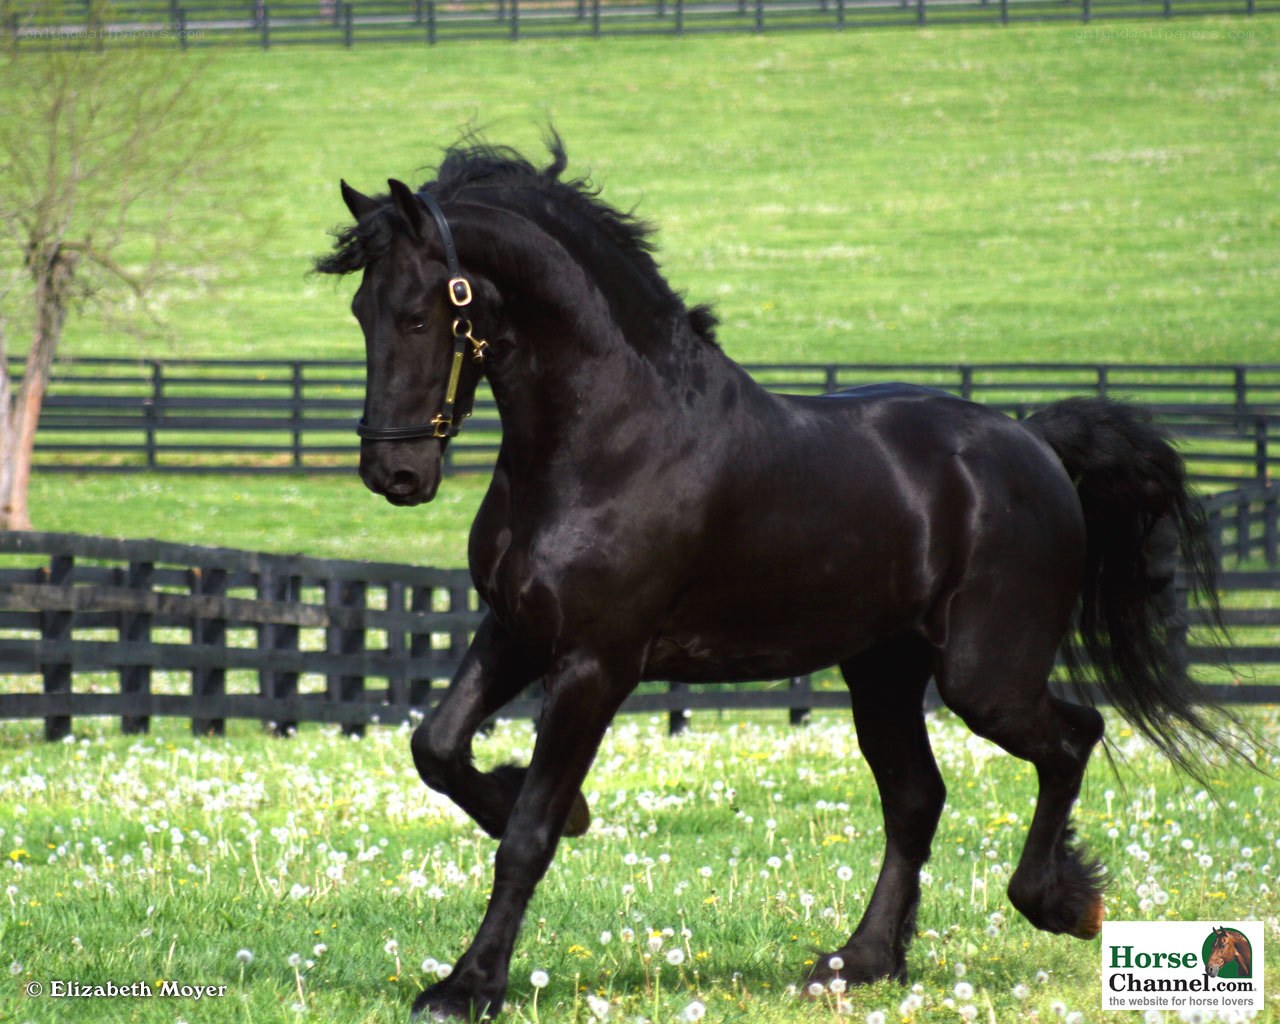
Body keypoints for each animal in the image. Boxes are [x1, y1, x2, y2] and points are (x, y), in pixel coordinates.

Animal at [316, 137, 1229, 1021]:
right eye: (360, 311)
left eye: (417, 313)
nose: (394, 473)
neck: (609, 439)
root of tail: (1033, 441)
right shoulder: (515, 629)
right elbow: (437, 747)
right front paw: (544, 809)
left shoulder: (595, 663)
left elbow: (527, 837)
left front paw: (467, 987)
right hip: (882, 671)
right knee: (917, 799)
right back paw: (860, 963)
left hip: (983, 678)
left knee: (1072, 737)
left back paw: (1062, 904)